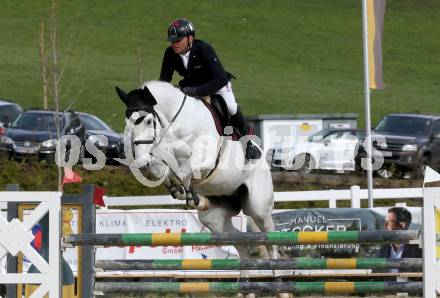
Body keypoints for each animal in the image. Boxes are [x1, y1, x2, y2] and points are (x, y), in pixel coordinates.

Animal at [117, 81, 280, 284]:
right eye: (127, 123)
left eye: (147, 121)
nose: (141, 162)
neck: (174, 126)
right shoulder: (159, 158)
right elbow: (162, 170)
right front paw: (182, 192)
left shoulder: (205, 160)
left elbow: (185, 170)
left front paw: (189, 194)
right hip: (215, 220)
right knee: (241, 244)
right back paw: (244, 285)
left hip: (258, 207)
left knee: (270, 241)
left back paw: (279, 282)